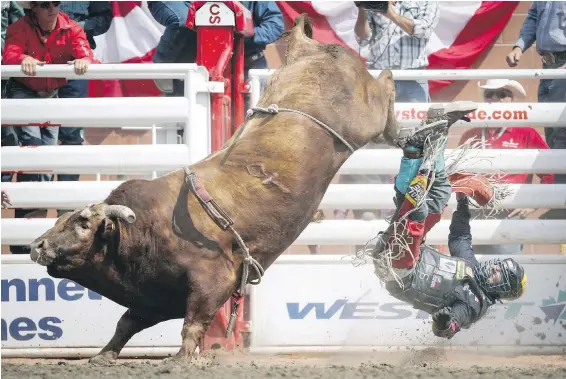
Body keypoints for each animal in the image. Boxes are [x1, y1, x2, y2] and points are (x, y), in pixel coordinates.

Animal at [28, 15, 402, 366]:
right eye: (60, 220)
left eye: (83, 223)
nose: (37, 246)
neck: (139, 231)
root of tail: (306, 48)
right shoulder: (153, 298)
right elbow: (126, 323)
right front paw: (104, 355)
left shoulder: (213, 279)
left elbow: (193, 322)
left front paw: (180, 358)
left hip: (365, 116)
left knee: (385, 87)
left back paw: (400, 117)